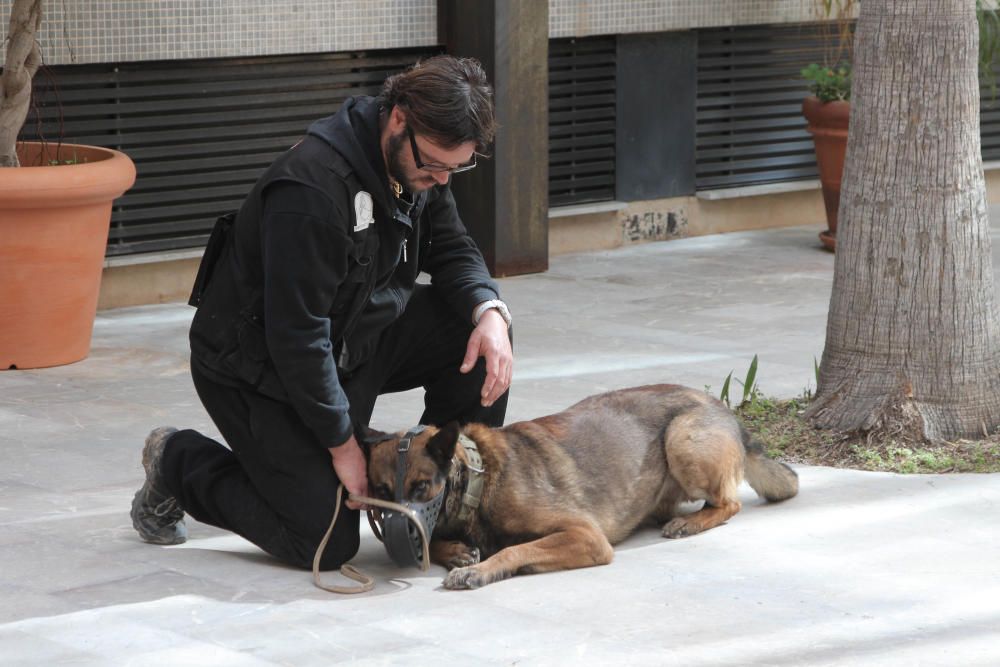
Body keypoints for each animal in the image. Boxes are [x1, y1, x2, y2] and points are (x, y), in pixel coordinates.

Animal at [366, 384, 796, 592]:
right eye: (381, 491)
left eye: (422, 486)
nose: (395, 535)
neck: (480, 478)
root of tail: (725, 411)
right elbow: (438, 541)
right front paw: (455, 551)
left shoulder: (586, 536)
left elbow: (515, 549)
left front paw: (482, 569)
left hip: (682, 439)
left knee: (728, 504)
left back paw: (691, 522)